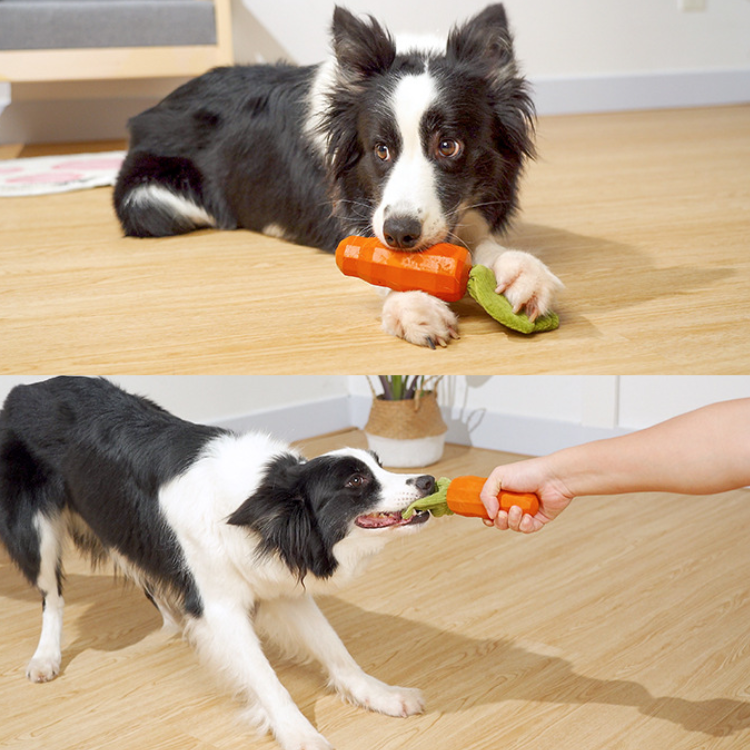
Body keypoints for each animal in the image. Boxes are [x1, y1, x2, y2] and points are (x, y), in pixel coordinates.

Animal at [0, 378, 438, 750]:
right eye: (355, 482)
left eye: (379, 464)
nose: (429, 481)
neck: (260, 498)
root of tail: (22, 389)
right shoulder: (220, 606)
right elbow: (265, 677)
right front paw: (300, 734)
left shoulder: (278, 587)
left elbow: (334, 647)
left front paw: (380, 694)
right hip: (36, 530)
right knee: (52, 594)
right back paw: (46, 656)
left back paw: (173, 624)